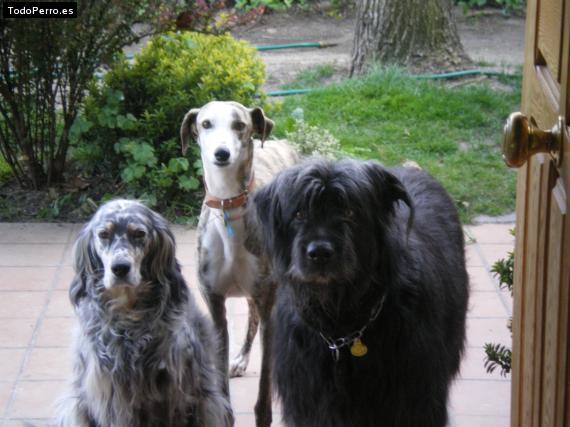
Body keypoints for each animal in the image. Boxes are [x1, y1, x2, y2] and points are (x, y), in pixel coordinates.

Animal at [55, 201, 233, 427]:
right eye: (103, 234)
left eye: (139, 233)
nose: (120, 268)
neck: (129, 319)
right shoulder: (109, 395)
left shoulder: (176, 394)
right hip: (75, 407)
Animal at [181, 102, 298, 426]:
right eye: (205, 123)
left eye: (240, 125)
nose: (221, 154)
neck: (228, 207)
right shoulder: (215, 304)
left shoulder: (269, 305)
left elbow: (264, 392)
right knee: (251, 318)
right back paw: (242, 358)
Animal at [246, 160, 468, 427]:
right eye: (299, 213)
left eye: (350, 212)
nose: (319, 253)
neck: (341, 327)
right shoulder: (310, 404)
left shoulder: (416, 401)